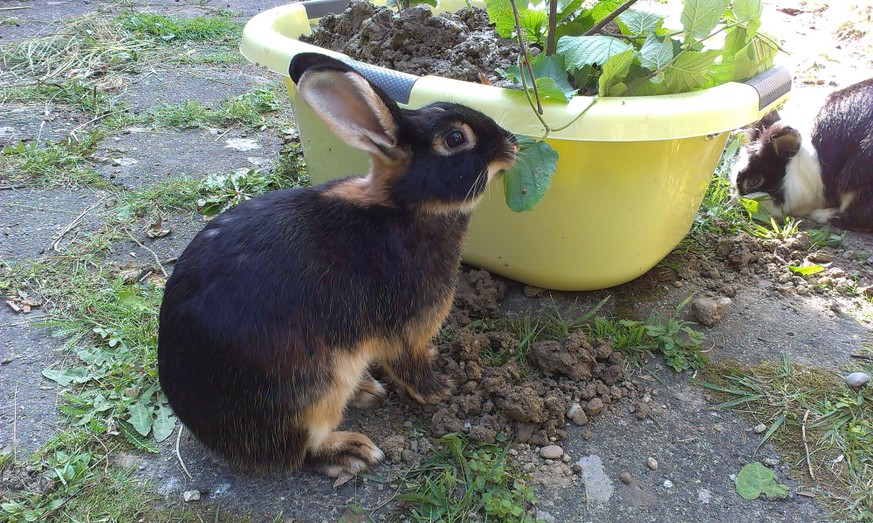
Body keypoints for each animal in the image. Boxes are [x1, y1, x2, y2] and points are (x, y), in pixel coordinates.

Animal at [157, 52, 518, 477]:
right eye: (455, 138)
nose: (512, 143)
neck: (405, 206)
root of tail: (211, 434)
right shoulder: (407, 328)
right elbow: (408, 363)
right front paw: (439, 391)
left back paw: (365, 390)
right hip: (318, 388)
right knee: (301, 450)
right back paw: (352, 450)